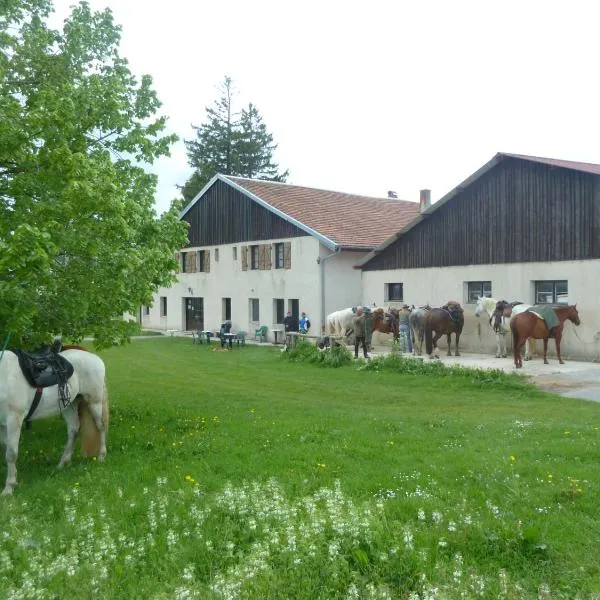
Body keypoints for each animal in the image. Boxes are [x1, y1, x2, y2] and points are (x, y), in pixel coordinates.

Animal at [0, 344, 109, 494]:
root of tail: (95, 358)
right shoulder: (2, 424)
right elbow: (6, 449)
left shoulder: (14, 419)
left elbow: (11, 453)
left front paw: (9, 488)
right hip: (69, 405)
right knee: (73, 430)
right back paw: (63, 463)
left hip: (94, 402)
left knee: (101, 426)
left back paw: (101, 456)